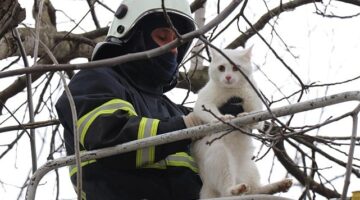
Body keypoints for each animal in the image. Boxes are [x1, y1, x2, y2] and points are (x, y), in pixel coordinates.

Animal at [191, 47, 292, 198]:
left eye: (235, 67)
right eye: (221, 68)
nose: (228, 77)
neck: (232, 91)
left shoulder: (255, 100)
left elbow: (257, 118)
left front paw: (246, 115)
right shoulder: (203, 101)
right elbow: (207, 111)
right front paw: (223, 118)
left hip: (251, 167)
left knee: (255, 190)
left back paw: (278, 185)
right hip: (219, 154)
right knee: (226, 192)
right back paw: (236, 189)